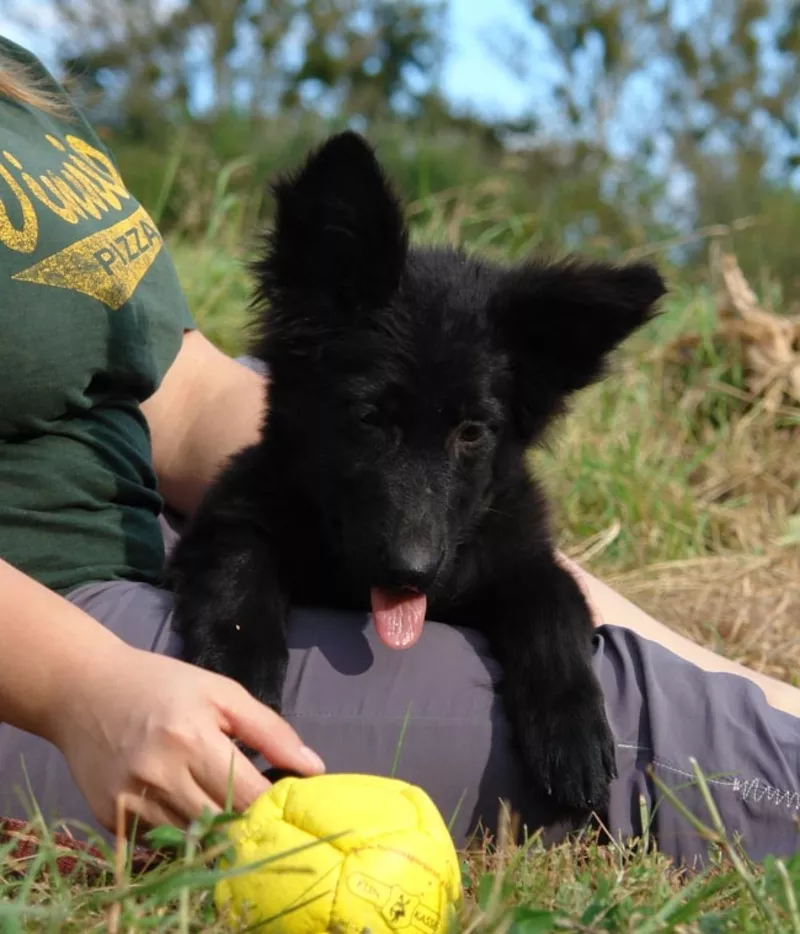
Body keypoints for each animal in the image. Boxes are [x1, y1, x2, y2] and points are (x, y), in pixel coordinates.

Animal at [170, 132, 668, 828]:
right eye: (369, 417)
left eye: (472, 432)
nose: (412, 573)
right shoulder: (233, 512)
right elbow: (239, 566)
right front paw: (239, 679)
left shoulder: (522, 554)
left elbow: (551, 605)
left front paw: (574, 736)